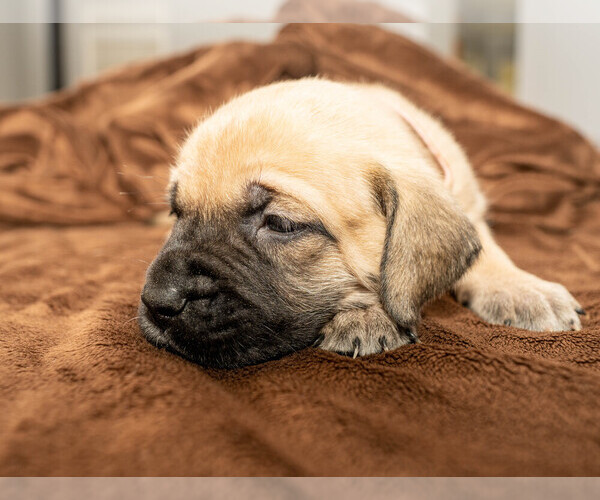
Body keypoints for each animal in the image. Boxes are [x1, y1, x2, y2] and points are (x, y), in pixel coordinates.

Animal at [138, 77, 584, 368]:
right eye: (178, 212)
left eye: (280, 224)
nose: (157, 301)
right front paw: (367, 315)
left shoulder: (469, 205)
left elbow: (487, 253)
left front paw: (522, 289)